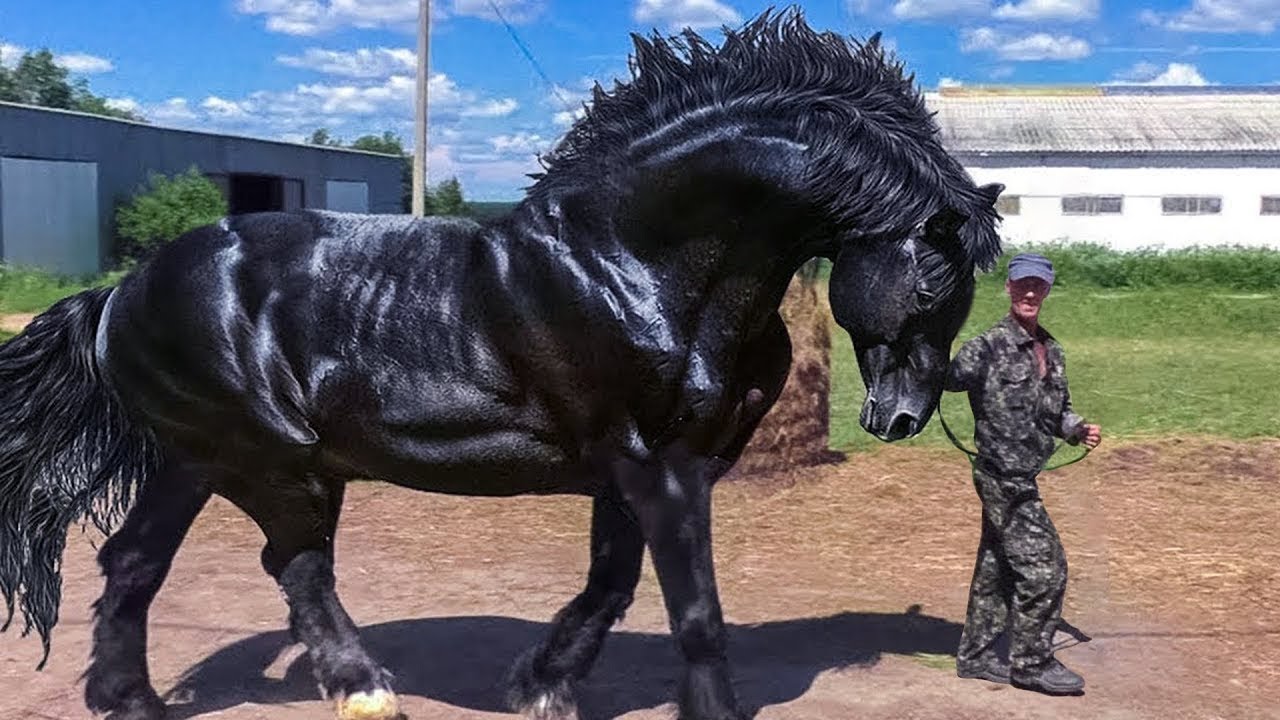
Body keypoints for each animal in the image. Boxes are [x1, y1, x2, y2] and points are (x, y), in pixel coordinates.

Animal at [0, 8, 1002, 720]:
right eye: (930, 281)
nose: (901, 417)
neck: (633, 264)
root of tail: (120, 293)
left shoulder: (638, 471)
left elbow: (610, 586)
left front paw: (540, 682)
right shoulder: (659, 466)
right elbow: (694, 613)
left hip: (196, 458)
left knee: (136, 564)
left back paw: (131, 700)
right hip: (267, 460)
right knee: (295, 565)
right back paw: (363, 687)